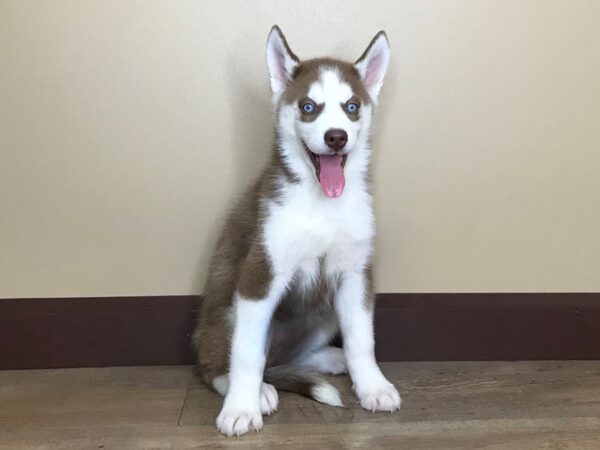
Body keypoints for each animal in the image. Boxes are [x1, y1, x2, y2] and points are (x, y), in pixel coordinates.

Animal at [193, 25, 398, 436]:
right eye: (308, 107)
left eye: (352, 107)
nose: (336, 137)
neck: (321, 203)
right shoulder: (259, 273)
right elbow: (247, 354)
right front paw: (240, 408)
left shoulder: (356, 275)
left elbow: (362, 339)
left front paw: (373, 386)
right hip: (224, 316)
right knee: (224, 364)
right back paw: (258, 390)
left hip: (325, 308)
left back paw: (330, 359)